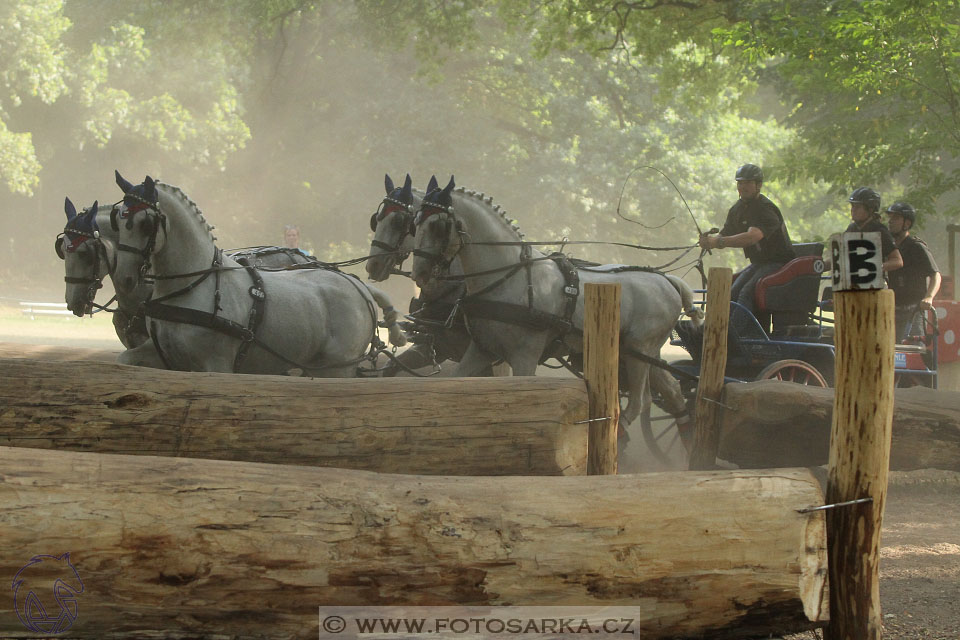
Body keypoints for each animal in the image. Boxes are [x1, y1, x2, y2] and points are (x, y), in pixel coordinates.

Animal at [109, 172, 404, 378]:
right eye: (117, 221)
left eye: (145, 223)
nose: (124, 278)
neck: (192, 285)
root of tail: (358, 285)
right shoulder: (163, 354)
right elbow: (124, 362)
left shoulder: (216, 364)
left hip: (337, 366)